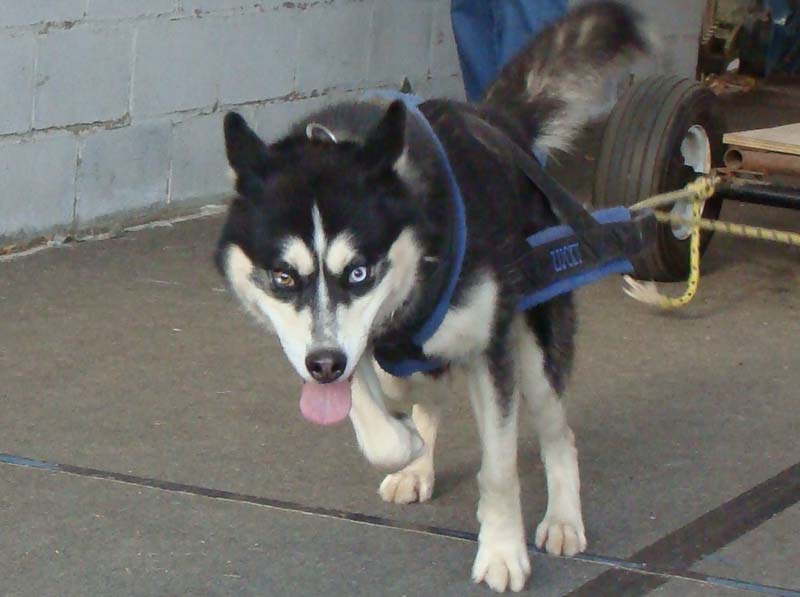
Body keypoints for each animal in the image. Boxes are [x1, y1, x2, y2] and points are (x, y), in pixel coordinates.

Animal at [216, 3, 652, 592]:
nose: (324, 365)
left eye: (359, 272)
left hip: (536, 352)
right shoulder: (346, 350)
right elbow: (380, 417)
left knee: (559, 433)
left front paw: (502, 551)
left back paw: (563, 519)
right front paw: (407, 446)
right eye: (283, 277)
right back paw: (416, 460)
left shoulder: (490, 350)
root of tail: (498, 123)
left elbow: (499, 469)